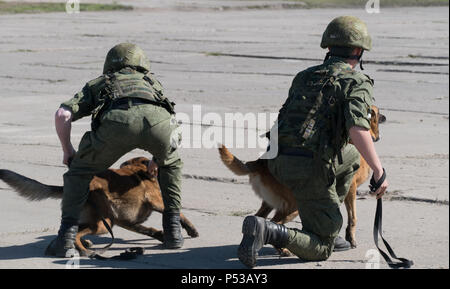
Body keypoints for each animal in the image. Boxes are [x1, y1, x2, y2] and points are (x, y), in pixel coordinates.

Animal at [0, 156, 199, 255]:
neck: (137, 171)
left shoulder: (126, 222)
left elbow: (147, 229)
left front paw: (160, 235)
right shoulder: (158, 202)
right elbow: (179, 213)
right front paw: (190, 229)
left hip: (101, 221)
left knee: (67, 231)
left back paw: (65, 246)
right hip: (104, 224)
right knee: (76, 234)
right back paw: (83, 250)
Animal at [220, 104, 384, 249]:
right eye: (377, 112)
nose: (385, 117)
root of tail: (260, 162)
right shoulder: (351, 189)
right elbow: (352, 218)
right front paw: (350, 238)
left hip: (270, 204)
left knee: (258, 217)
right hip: (293, 207)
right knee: (275, 223)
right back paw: (282, 247)